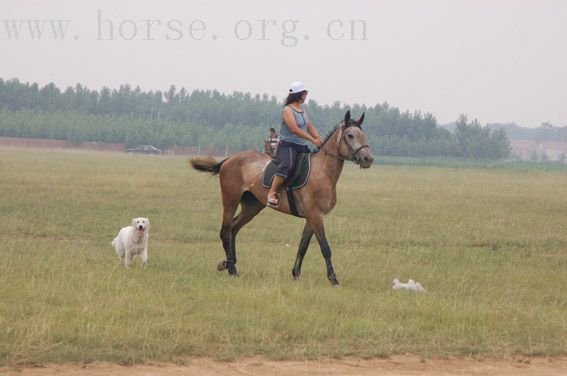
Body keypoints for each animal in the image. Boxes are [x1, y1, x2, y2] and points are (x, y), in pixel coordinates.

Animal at [193, 110, 374, 286]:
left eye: (363, 135)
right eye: (350, 135)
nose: (368, 159)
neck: (322, 171)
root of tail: (230, 159)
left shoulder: (312, 217)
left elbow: (303, 246)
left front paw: (296, 274)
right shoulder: (316, 216)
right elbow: (325, 247)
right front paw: (333, 279)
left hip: (253, 206)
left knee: (234, 229)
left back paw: (232, 267)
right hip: (230, 200)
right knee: (225, 231)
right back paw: (227, 266)